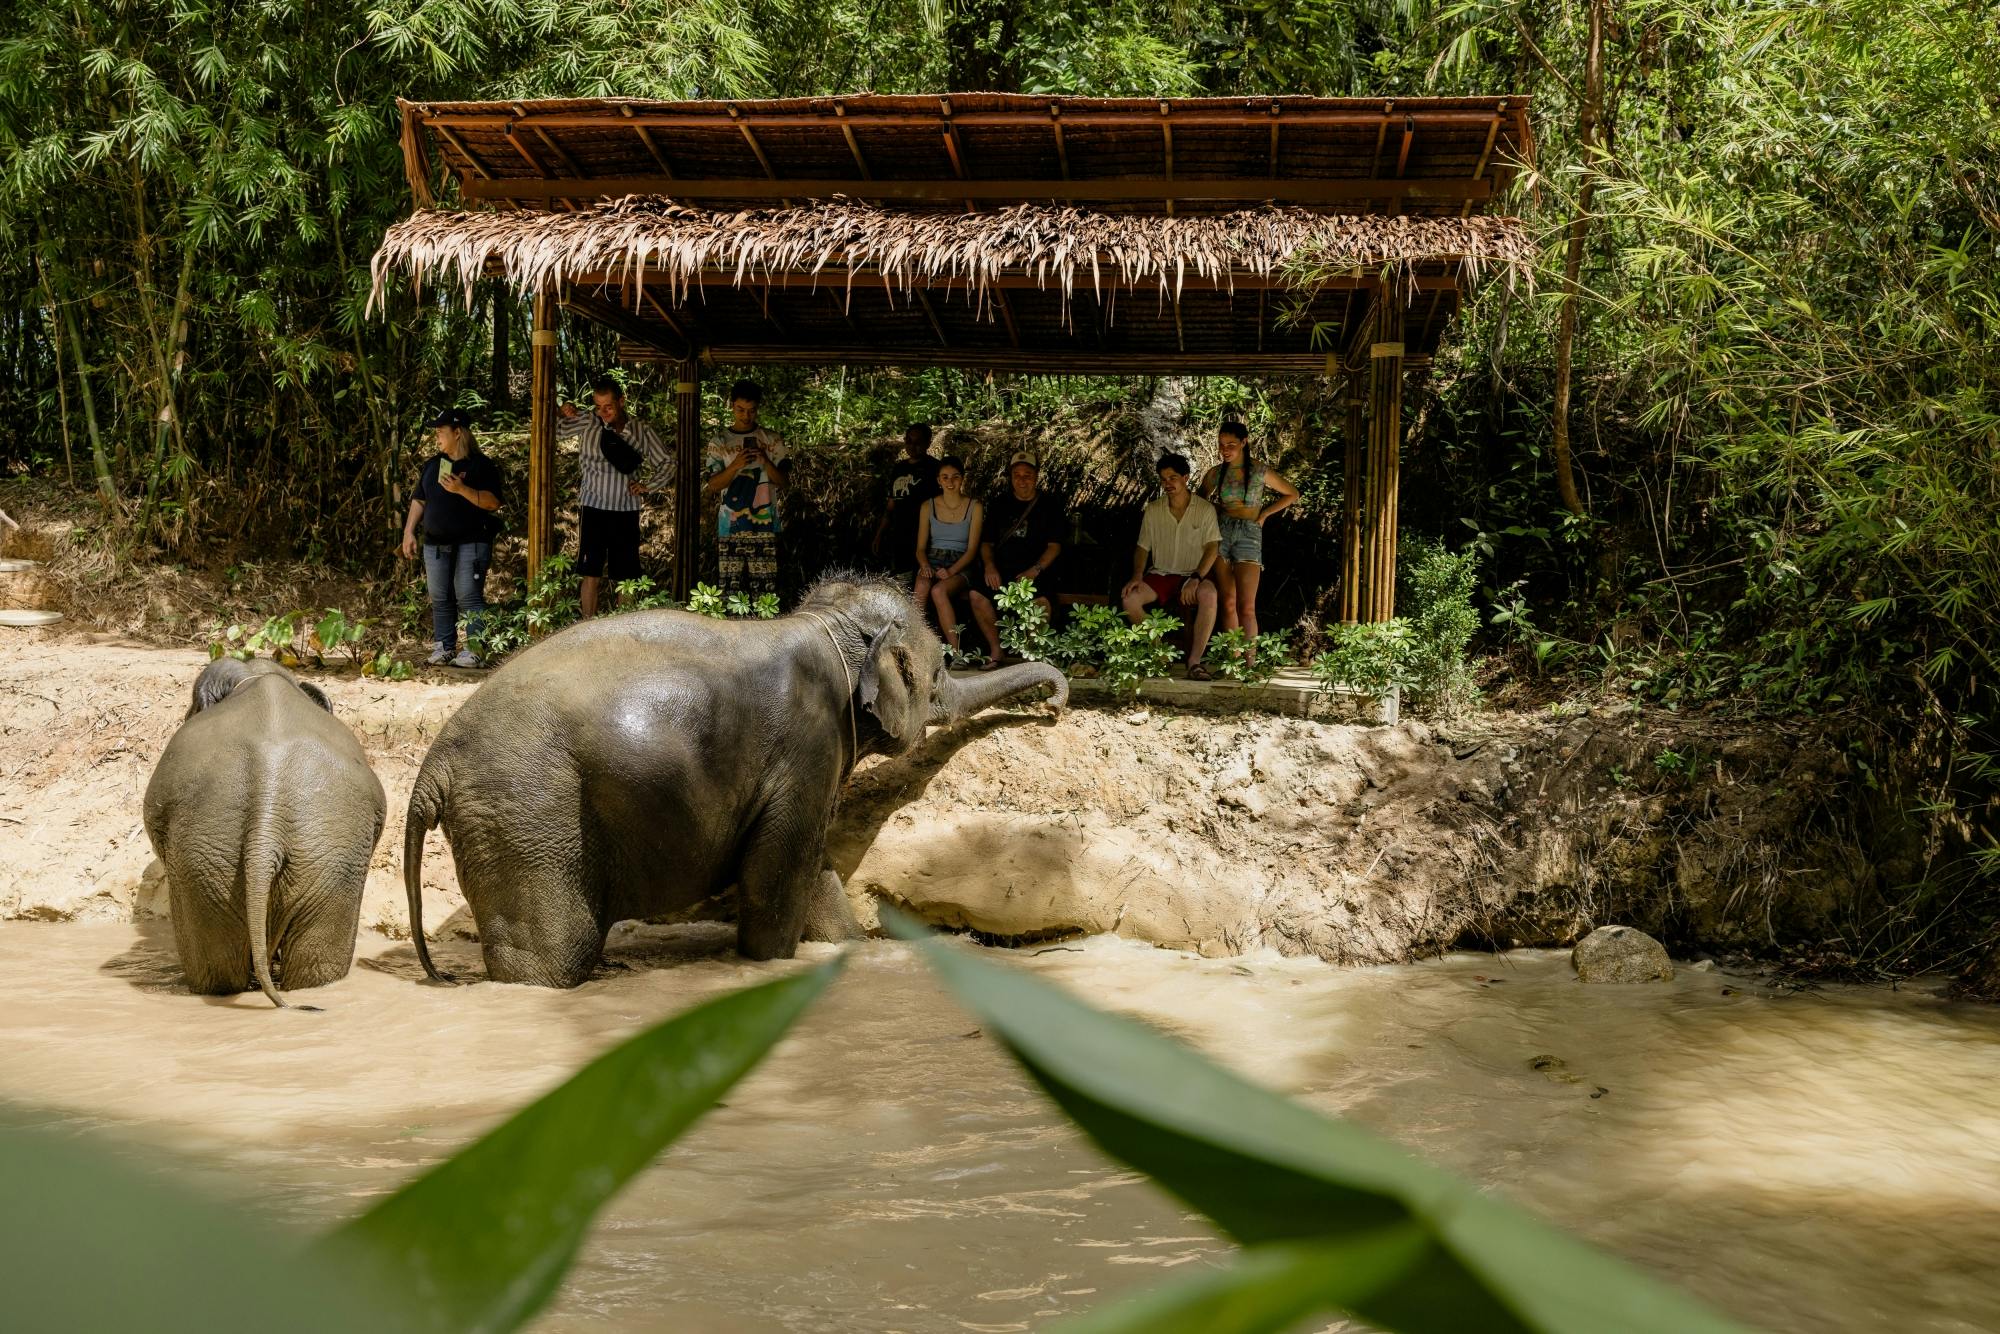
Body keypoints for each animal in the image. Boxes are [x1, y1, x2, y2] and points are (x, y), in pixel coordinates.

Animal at [402, 572, 1068, 987]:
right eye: (938, 675)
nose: (1055, 706)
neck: (825, 625)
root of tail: (432, 771)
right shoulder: (809, 744)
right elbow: (776, 873)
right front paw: (768, 964)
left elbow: (812, 867)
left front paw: (849, 947)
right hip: (526, 815)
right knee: (553, 955)